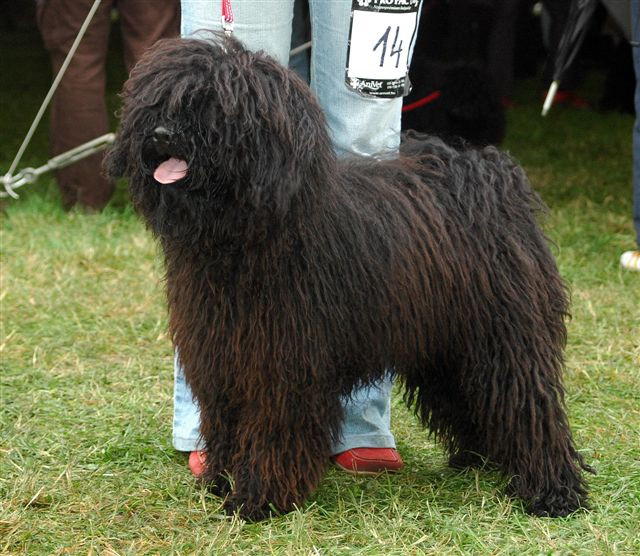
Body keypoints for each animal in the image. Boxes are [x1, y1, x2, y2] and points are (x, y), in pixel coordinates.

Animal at [102, 34, 592, 520]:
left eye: (214, 105)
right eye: (158, 101)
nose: (161, 134)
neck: (255, 236)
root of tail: (490, 176)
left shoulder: (283, 364)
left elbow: (273, 428)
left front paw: (258, 498)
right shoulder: (222, 355)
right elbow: (227, 424)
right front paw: (220, 479)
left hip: (503, 335)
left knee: (528, 405)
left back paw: (554, 492)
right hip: (446, 343)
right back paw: (481, 460)